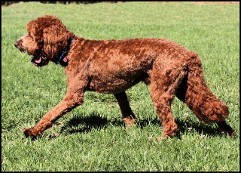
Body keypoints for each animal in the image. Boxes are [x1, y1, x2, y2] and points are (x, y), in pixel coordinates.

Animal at [14, 15, 234, 139]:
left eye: (31, 35)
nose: (16, 43)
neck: (70, 49)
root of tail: (189, 54)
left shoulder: (73, 95)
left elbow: (51, 114)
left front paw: (32, 131)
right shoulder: (118, 89)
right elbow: (126, 110)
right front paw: (132, 127)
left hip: (161, 91)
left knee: (171, 125)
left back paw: (159, 140)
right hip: (186, 88)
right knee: (211, 107)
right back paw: (229, 133)